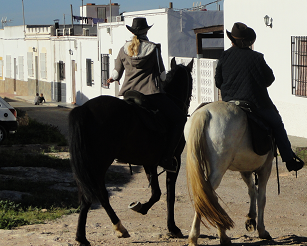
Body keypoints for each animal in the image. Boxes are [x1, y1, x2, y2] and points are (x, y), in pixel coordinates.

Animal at [69, 57, 194, 244]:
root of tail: (84, 109)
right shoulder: (174, 161)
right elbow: (169, 195)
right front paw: (172, 227)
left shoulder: (149, 162)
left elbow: (156, 192)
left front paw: (142, 207)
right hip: (99, 163)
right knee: (99, 194)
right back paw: (118, 228)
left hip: (87, 166)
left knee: (87, 196)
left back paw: (83, 236)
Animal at [185, 101, 274, 245]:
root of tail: (204, 112)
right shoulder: (266, 168)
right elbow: (261, 198)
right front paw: (262, 230)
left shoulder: (245, 169)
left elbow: (252, 190)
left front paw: (251, 218)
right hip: (219, 168)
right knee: (205, 195)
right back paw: (198, 236)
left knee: (208, 195)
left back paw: (221, 234)